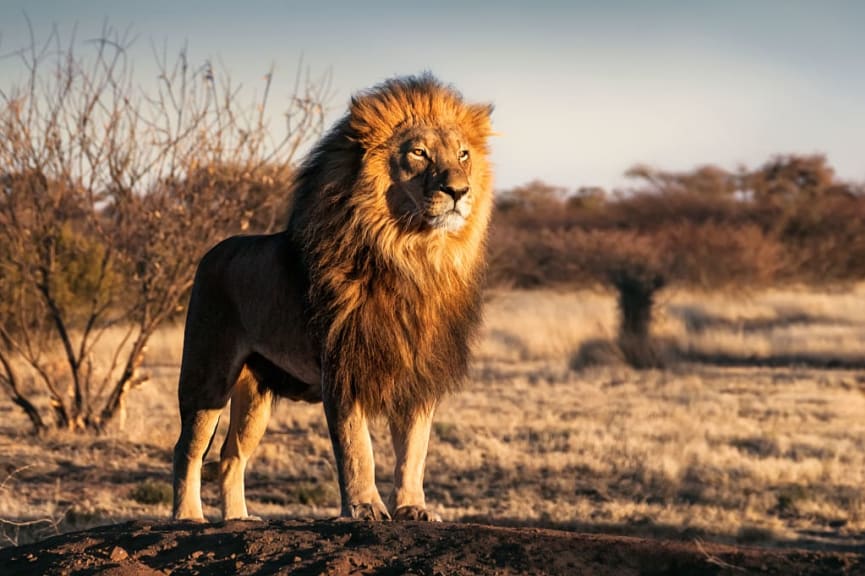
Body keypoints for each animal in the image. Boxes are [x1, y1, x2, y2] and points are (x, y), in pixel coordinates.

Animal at [171, 73, 492, 520]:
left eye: (463, 154)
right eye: (419, 153)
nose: (459, 190)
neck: (412, 256)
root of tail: (212, 251)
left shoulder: (418, 373)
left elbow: (414, 450)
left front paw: (413, 507)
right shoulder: (342, 368)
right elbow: (358, 448)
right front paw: (365, 508)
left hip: (255, 394)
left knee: (231, 455)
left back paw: (237, 519)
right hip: (207, 376)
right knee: (188, 449)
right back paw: (188, 516)